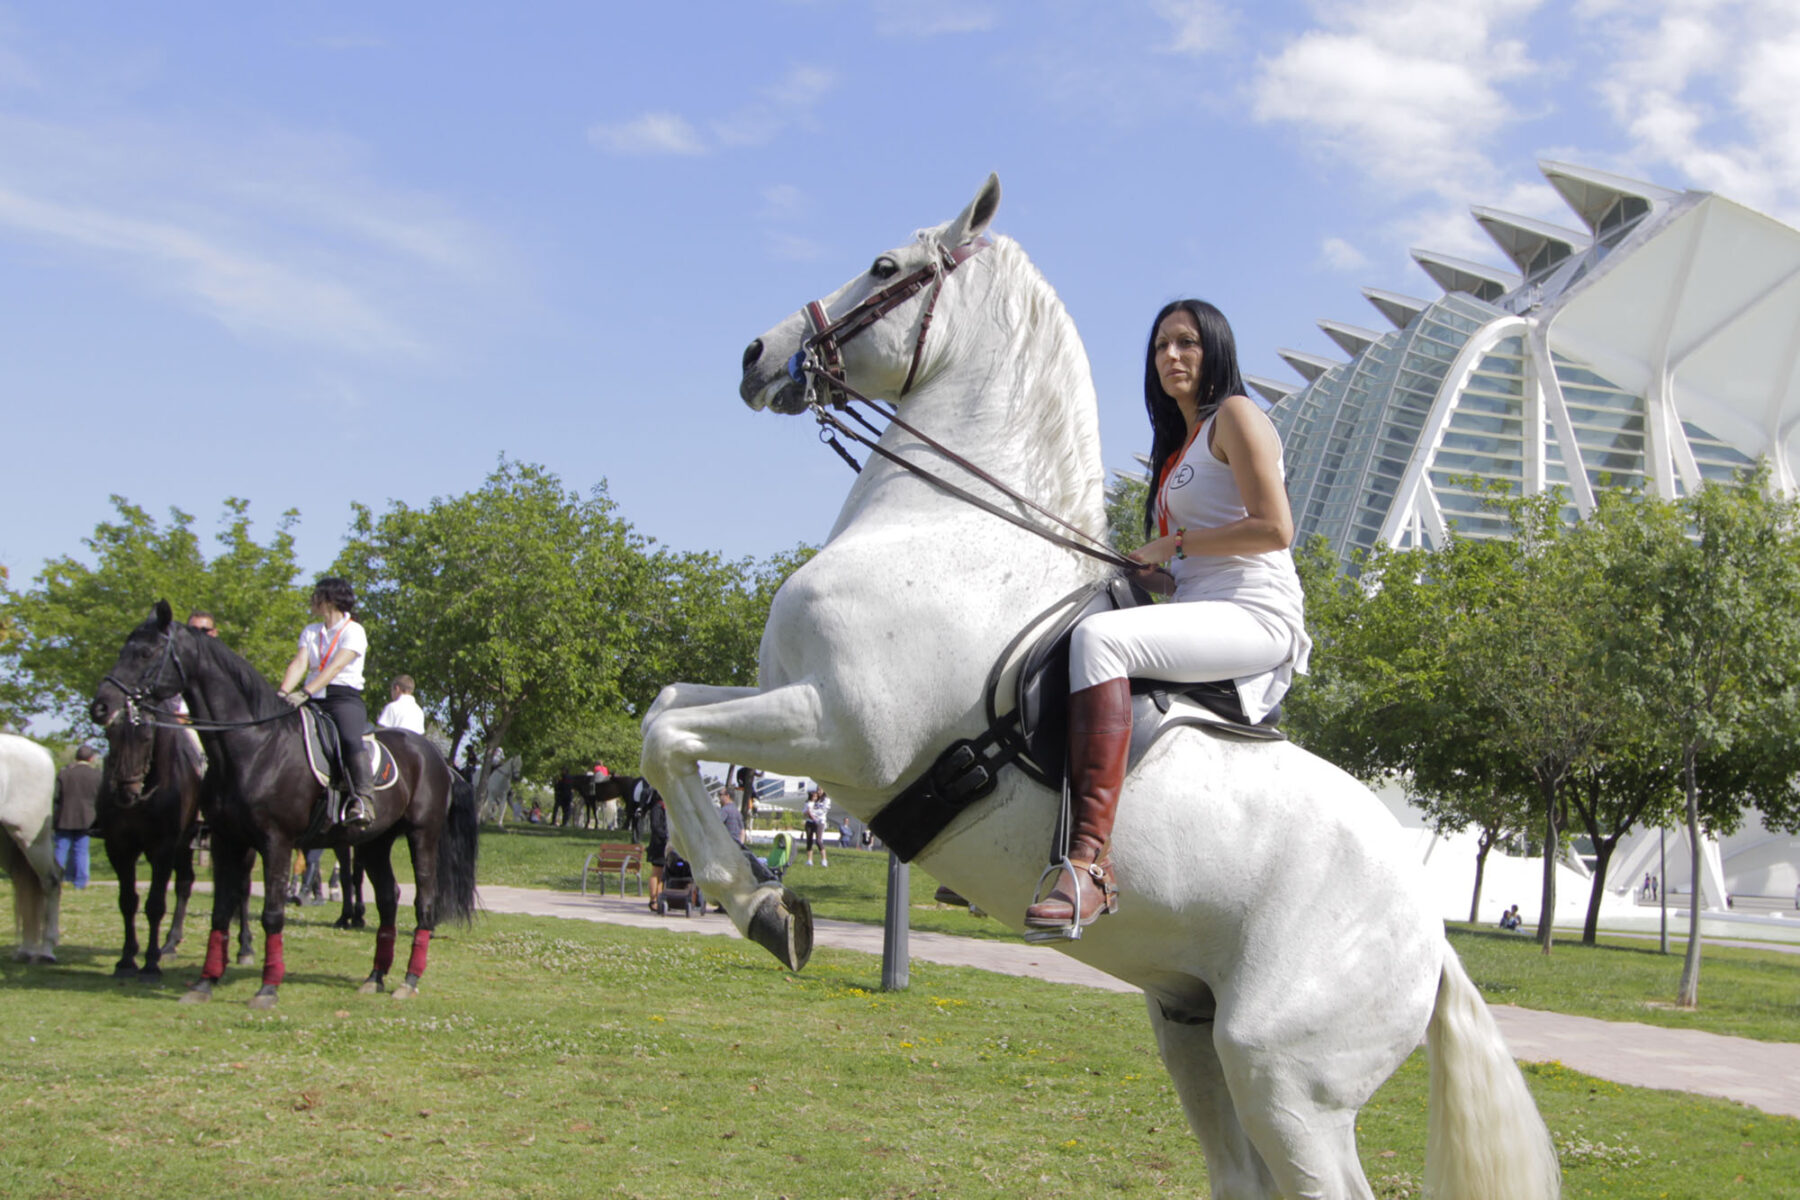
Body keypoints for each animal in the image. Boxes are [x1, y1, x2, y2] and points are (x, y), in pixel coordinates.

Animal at [0, 733, 61, 963]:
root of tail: (41, 752)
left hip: (32, 839)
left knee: (51, 882)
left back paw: (46, 951)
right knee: (25, 885)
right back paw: (26, 949)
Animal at [91, 690, 256, 980]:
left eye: (147, 737)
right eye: (110, 735)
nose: (125, 793)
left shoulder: (163, 848)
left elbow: (155, 904)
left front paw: (150, 963)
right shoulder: (119, 848)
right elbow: (128, 901)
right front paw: (127, 959)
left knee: (243, 889)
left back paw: (245, 947)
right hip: (186, 846)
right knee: (186, 883)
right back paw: (170, 943)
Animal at [639, 177, 1560, 1200]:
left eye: (884, 267)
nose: (758, 355)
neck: (947, 525)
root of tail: (1432, 940)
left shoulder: (841, 733)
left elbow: (666, 738)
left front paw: (763, 908)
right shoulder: (791, 706)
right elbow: (666, 713)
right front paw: (762, 893)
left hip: (1286, 1081)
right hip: (1193, 1032)